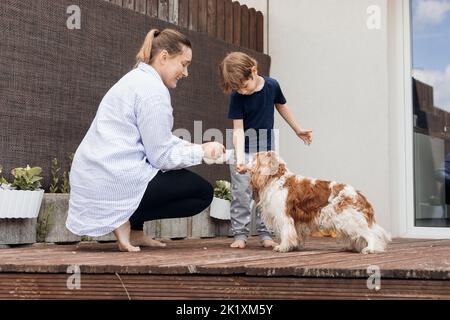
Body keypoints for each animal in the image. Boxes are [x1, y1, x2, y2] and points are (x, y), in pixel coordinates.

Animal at [248, 151, 392, 254]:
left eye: (256, 157)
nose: (247, 158)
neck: (277, 178)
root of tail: (358, 194)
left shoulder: (284, 216)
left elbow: (286, 233)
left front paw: (282, 247)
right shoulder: (297, 220)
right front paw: (294, 246)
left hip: (350, 220)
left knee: (370, 234)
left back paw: (370, 249)